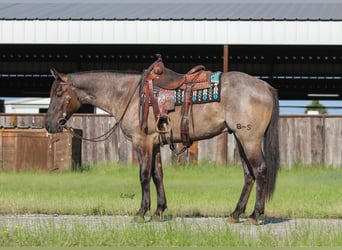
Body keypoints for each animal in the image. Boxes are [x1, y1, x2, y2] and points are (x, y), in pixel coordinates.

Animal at [45, 61, 280, 225]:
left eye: (59, 93)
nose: (49, 124)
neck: (128, 94)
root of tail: (265, 86)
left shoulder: (142, 142)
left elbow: (144, 175)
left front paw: (141, 212)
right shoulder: (155, 144)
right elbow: (157, 175)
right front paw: (159, 211)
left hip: (249, 140)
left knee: (260, 170)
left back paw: (254, 215)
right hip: (240, 139)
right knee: (249, 175)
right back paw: (235, 214)